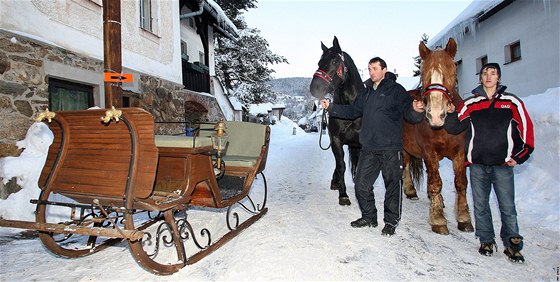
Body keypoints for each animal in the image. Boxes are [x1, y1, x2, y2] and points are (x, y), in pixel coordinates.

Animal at [308, 37, 366, 205]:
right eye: (319, 62)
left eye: (334, 61)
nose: (315, 87)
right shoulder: (336, 141)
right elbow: (341, 165)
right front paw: (343, 194)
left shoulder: (362, 144)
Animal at [402, 38, 472, 236]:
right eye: (425, 74)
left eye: (452, 72)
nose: (434, 115)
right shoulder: (429, 151)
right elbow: (435, 183)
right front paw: (438, 219)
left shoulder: (460, 152)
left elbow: (461, 183)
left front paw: (464, 218)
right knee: (406, 165)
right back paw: (410, 190)